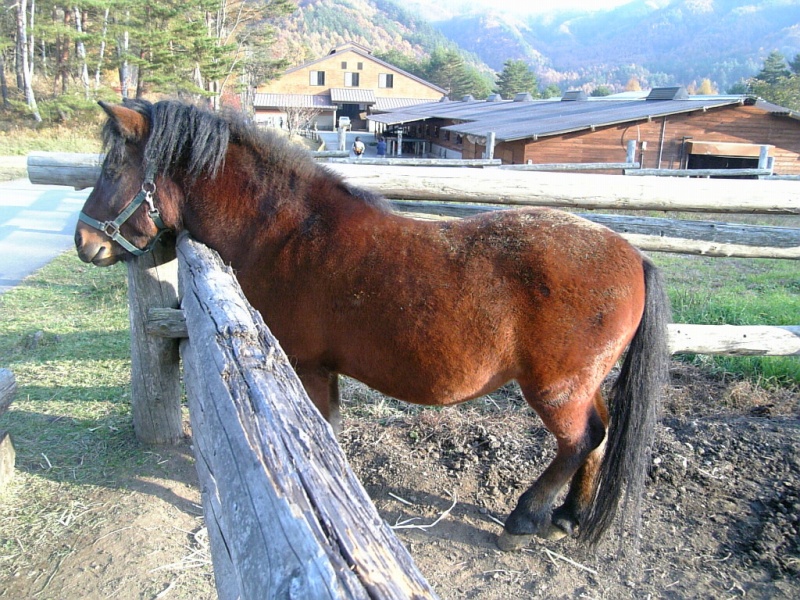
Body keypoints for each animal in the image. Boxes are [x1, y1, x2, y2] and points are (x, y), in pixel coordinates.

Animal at [78, 101, 672, 552]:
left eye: (111, 170)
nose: (85, 243)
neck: (286, 232)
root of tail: (633, 256)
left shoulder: (308, 365)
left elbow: (322, 426)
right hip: (582, 384)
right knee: (598, 436)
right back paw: (569, 515)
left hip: (555, 389)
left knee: (581, 440)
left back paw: (525, 519)